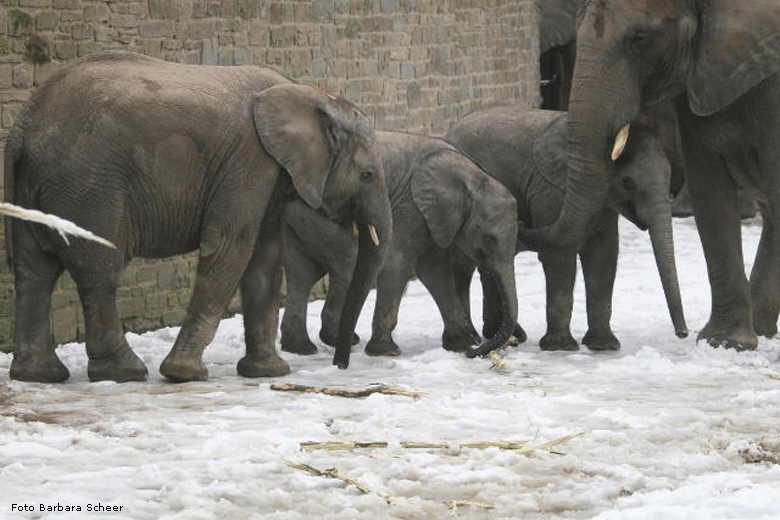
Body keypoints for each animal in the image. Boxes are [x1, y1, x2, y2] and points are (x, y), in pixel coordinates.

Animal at [4, 50, 396, 384]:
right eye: (367, 176)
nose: (341, 363)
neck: (310, 92)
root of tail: (24, 125)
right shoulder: (249, 162)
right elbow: (229, 249)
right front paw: (184, 375)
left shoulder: (270, 175)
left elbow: (264, 260)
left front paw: (268, 373)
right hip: (89, 184)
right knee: (99, 270)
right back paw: (125, 372)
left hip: (40, 185)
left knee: (34, 269)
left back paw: (39, 376)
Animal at [280, 129, 516, 366]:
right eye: (490, 238)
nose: (475, 352)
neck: (472, 175)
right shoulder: (408, 205)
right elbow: (397, 263)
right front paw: (386, 351)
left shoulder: (434, 218)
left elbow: (435, 271)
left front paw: (461, 344)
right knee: (347, 267)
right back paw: (339, 340)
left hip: (299, 217)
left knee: (302, 274)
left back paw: (301, 348)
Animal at [444, 104, 688, 350]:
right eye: (628, 183)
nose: (683, 334)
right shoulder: (551, 189)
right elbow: (559, 257)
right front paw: (560, 347)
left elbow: (604, 256)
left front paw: (604, 346)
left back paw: (510, 337)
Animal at [516, 0, 780, 352]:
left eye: (639, 40)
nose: (682, 333)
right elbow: (709, 191)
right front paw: (724, 343)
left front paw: (724, 343)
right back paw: (761, 327)